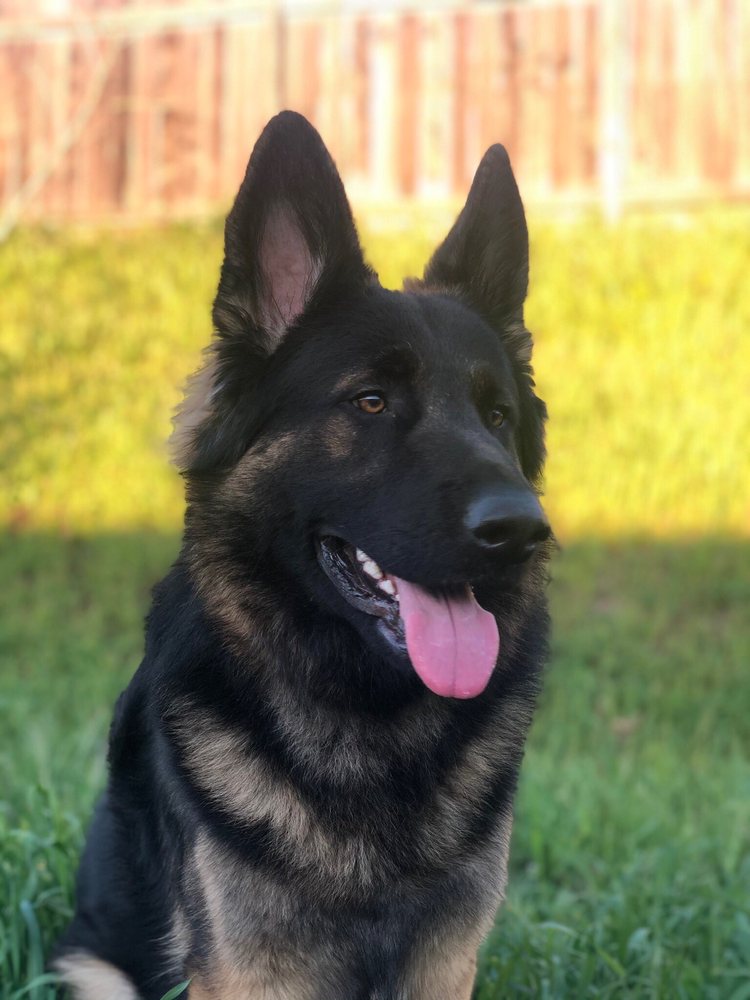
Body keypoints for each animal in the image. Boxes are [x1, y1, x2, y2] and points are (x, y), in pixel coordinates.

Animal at [54, 111, 552, 999]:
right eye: (371, 401)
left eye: (497, 416)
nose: (522, 528)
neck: (368, 724)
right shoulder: (248, 967)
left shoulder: (445, 960)